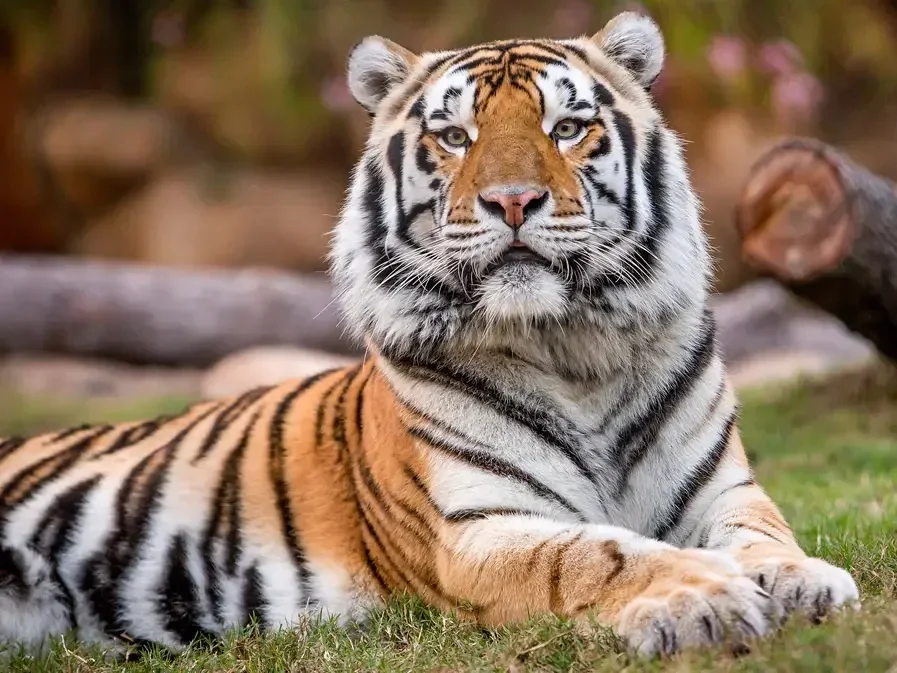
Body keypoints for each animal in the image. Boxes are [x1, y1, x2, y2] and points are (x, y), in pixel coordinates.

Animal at [0, 11, 859, 660]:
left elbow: (765, 536)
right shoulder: (476, 530)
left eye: (567, 127)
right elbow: (595, 553)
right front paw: (702, 595)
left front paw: (807, 581)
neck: (574, 350)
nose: (512, 201)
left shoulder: (722, 490)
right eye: (453, 136)